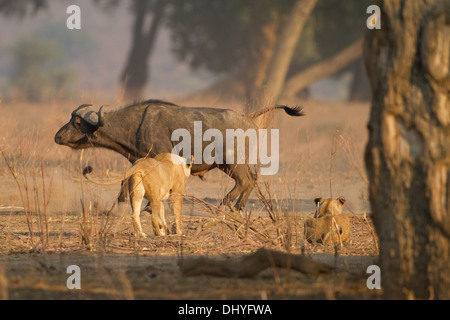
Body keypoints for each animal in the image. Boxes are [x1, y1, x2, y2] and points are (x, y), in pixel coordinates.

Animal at [54, 100, 304, 210]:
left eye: (76, 123)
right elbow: (126, 183)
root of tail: (248, 118)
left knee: (245, 180)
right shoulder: (137, 160)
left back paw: (226, 203)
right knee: (252, 179)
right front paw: (120, 203)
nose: (57, 136)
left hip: (233, 162)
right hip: (229, 164)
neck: (136, 126)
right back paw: (239, 206)